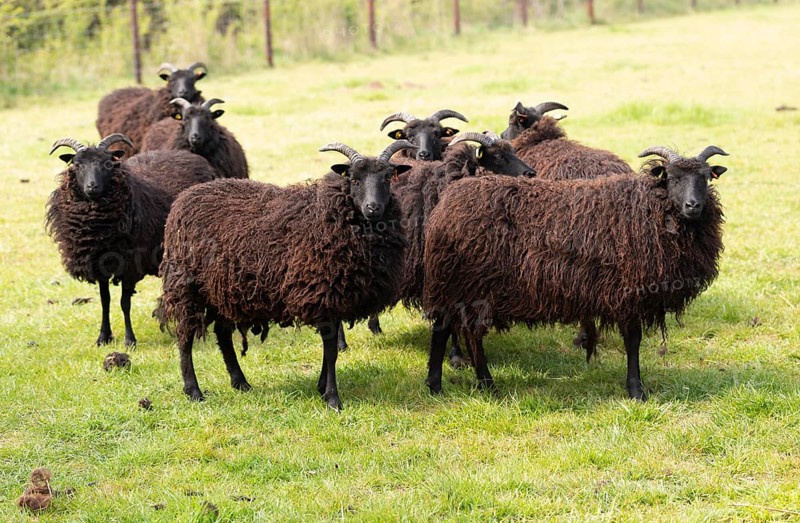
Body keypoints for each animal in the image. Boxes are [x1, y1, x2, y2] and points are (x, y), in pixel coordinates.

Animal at [45, 134, 216, 347]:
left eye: (108, 163)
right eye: (77, 165)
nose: (92, 187)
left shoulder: (130, 265)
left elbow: (124, 303)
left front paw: (129, 340)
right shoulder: (99, 264)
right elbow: (105, 301)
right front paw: (103, 337)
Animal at [157, 140, 417, 409]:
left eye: (387, 178)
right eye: (354, 179)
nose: (373, 208)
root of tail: (184, 197)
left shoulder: (333, 299)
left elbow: (329, 351)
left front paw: (321, 387)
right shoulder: (324, 294)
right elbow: (331, 352)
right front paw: (332, 398)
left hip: (223, 289)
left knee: (222, 333)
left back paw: (240, 382)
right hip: (186, 284)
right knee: (185, 336)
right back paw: (193, 390)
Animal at [422, 145, 729, 401]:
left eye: (705, 178)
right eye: (673, 178)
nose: (693, 205)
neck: (651, 209)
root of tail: (447, 201)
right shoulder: (630, 291)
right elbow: (633, 341)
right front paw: (636, 390)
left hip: (459, 285)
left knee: (447, 329)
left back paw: (438, 386)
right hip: (466, 283)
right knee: (463, 332)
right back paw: (483, 384)